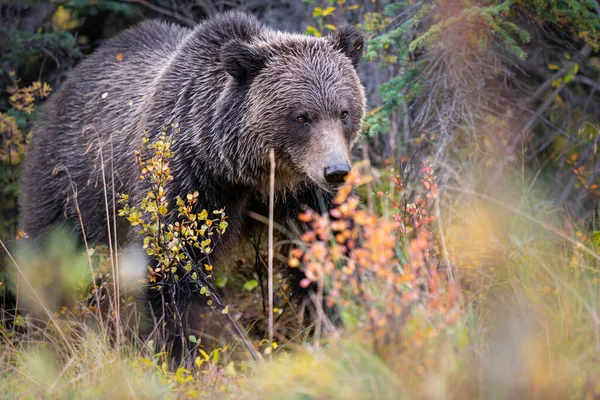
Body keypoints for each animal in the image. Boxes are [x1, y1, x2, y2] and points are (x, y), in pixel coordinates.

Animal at [19, 10, 366, 350]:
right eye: (302, 117)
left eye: (344, 112)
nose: (336, 171)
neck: (247, 172)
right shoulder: (186, 182)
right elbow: (174, 268)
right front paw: (183, 346)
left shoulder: (304, 194)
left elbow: (331, 247)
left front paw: (338, 320)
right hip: (70, 188)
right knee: (49, 257)